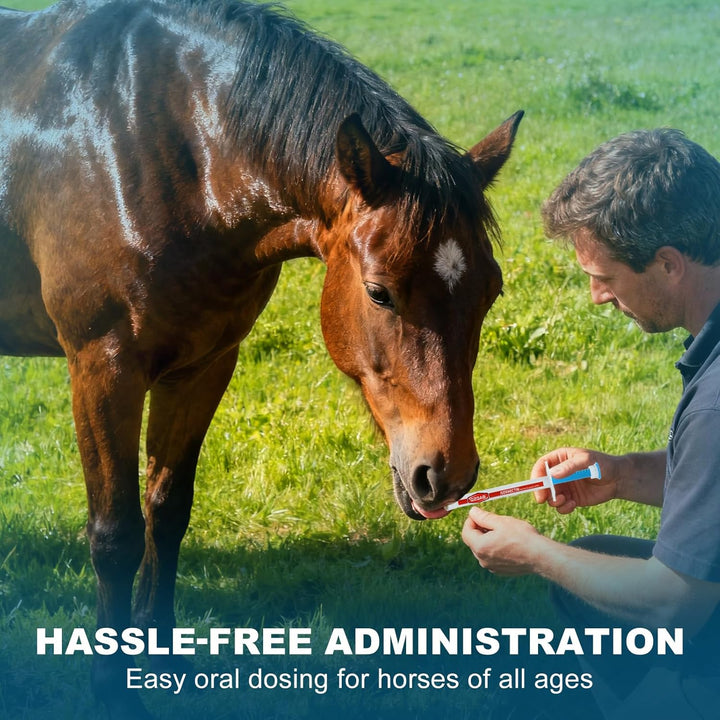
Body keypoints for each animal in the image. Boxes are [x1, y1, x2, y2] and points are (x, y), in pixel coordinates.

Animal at [0, 0, 521, 716]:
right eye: (379, 291)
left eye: (489, 290)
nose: (444, 474)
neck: (145, 141)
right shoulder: (102, 369)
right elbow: (115, 533)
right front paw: (113, 691)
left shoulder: (204, 364)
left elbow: (167, 511)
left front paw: (158, 656)